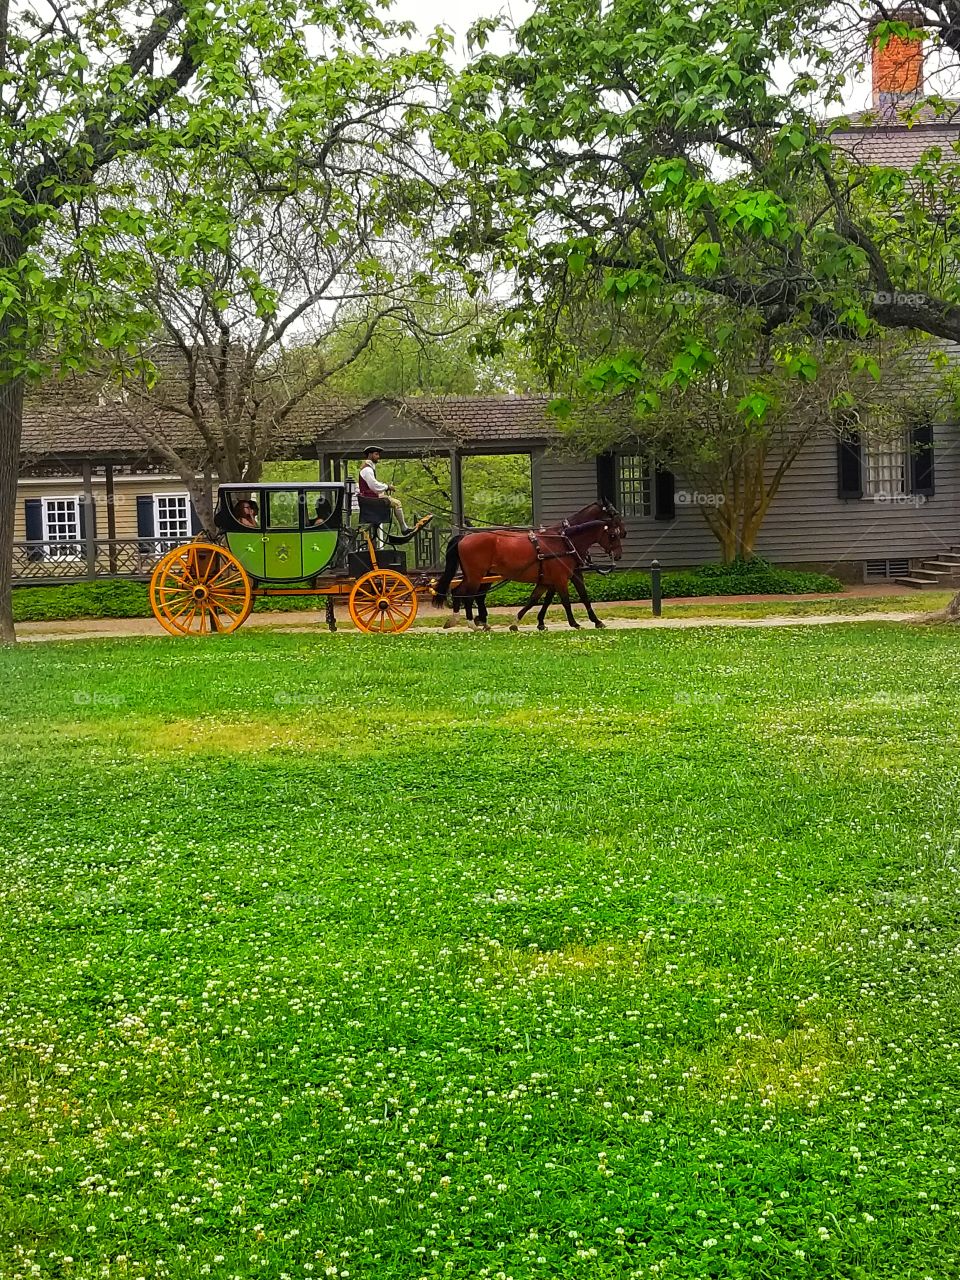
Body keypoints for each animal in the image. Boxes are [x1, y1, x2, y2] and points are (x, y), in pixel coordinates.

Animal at [435, 499, 627, 629]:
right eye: (614, 514)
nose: (618, 554)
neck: (564, 540)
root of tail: (464, 537)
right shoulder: (564, 577)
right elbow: (568, 599)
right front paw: (578, 623)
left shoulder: (554, 578)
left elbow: (538, 599)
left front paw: (530, 622)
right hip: (477, 575)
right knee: (467, 595)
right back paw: (472, 623)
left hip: (477, 575)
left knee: (466, 593)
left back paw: (469, 620)